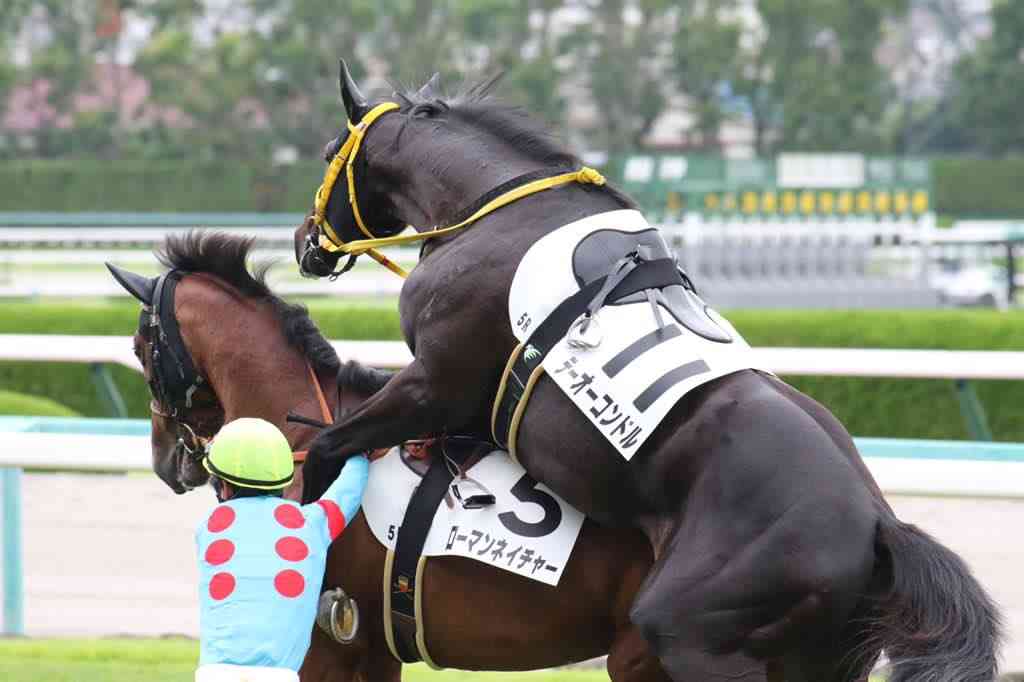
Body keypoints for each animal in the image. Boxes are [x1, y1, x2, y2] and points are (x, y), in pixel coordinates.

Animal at [291, 63, 1001, 682]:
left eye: (327, 151)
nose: (305, 242)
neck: (495, 209)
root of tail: (879, 524)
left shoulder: (436, 382)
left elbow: (326, 445)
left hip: (692, 629)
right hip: (817, 658)